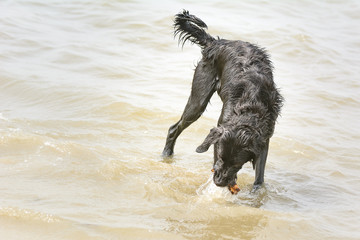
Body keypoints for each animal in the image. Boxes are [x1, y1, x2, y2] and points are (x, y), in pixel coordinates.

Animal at [163, 10, 284, 192]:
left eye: (236, 164)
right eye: (220, 156)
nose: (219, 182)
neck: (251, 105)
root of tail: (216, 43)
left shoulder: (264, 139)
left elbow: (259, 175)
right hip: (199, 99)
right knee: (173, 128)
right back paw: (166, 155)